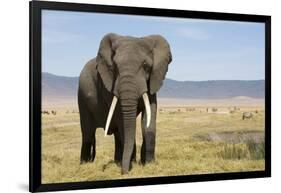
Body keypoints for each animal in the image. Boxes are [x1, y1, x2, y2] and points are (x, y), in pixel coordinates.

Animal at [77, 32, 172, 174]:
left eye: (146, 66)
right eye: (115, 67)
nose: (125, 172)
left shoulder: (152, 81)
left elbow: (149, 118)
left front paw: (148, 164)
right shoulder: (108, 85)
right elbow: (122, 119)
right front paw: (132, 164)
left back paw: (117, 161)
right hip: (82, 99)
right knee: (88, 133)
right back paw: (84, 164)